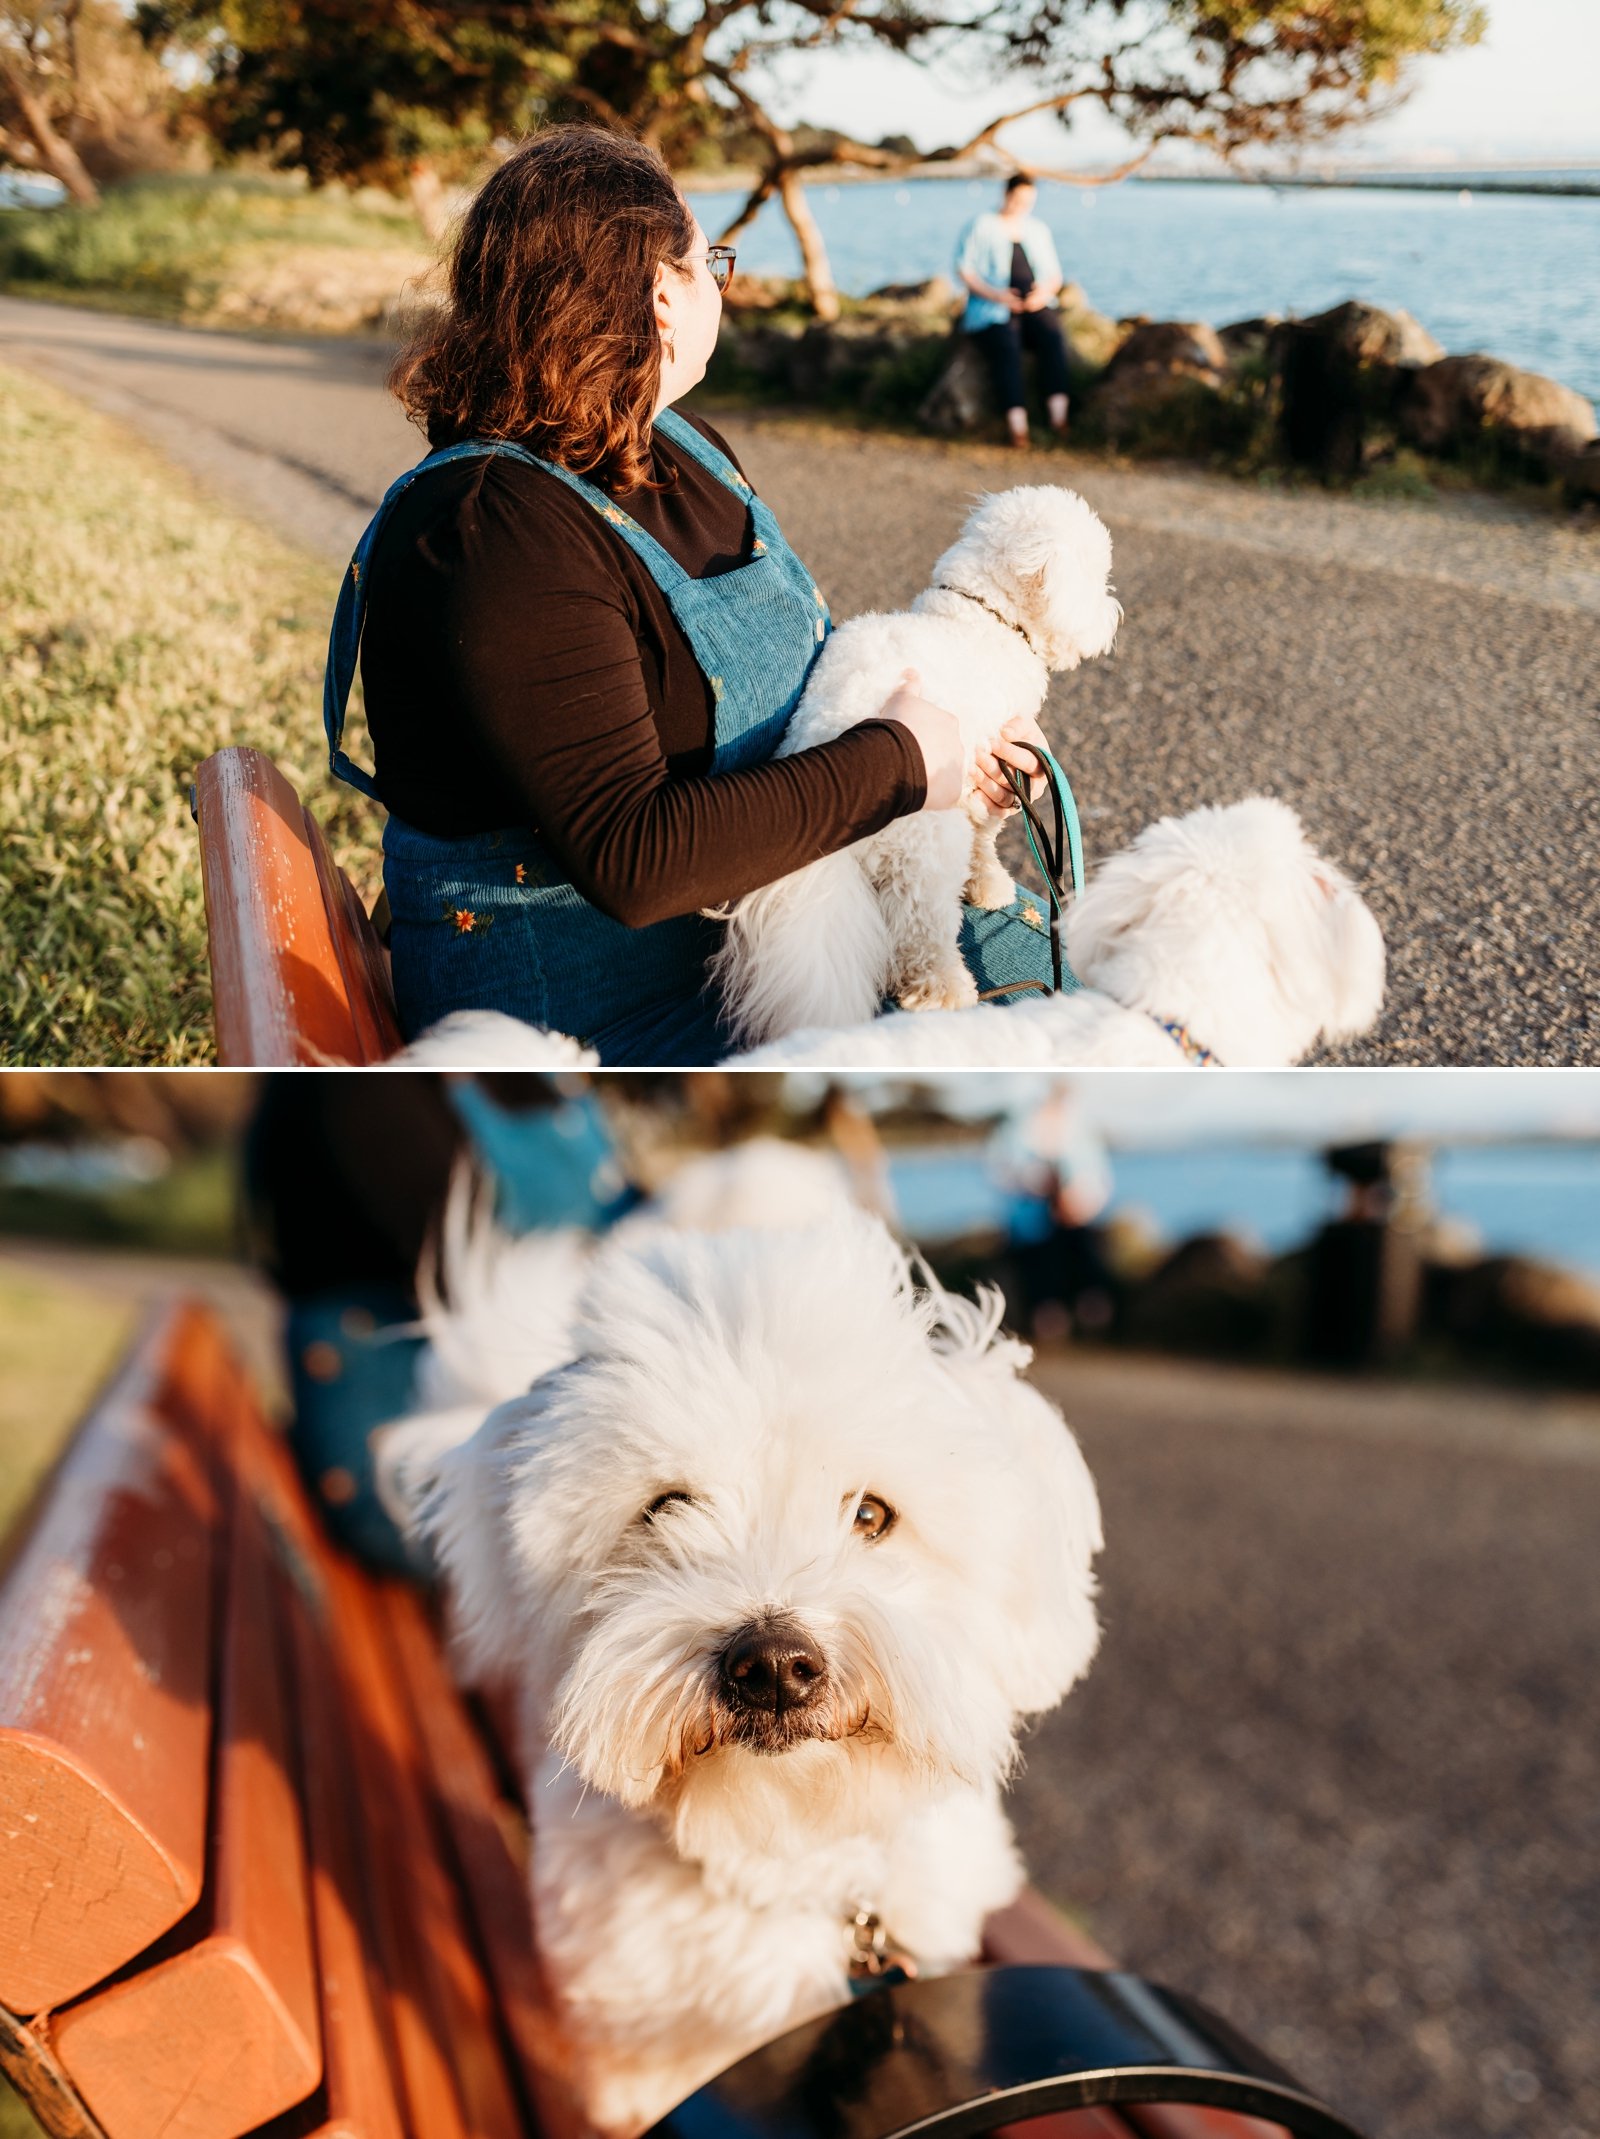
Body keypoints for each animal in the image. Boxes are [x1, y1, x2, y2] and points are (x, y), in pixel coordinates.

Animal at [705, 487, 1120, 1052]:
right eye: (1097, 576)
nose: (1114, 615)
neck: (980, 616)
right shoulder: (989, 764)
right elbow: (986, 839)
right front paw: (989, 884)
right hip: (926, 846)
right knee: (921, 928)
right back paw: (944, 989)